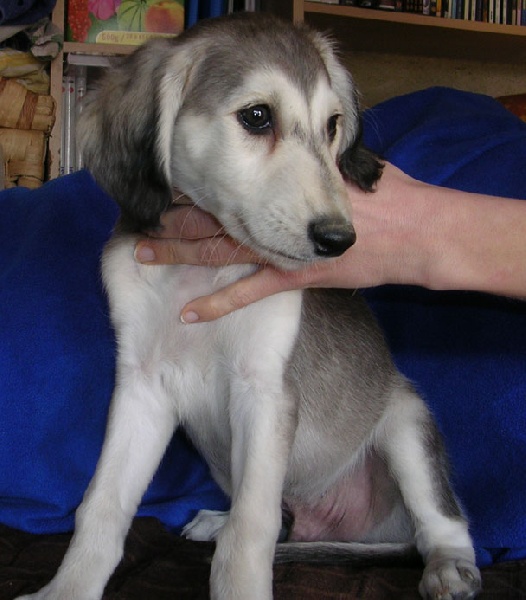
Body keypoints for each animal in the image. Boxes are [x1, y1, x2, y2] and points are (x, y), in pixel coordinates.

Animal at [18, 12, 481, 600]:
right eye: (257, 116)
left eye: (333, 125)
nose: (340, 240)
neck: (198, 277)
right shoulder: (141, 386)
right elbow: (101, 505)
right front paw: (68, 588)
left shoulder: (263, 389)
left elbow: (250, 531)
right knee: (280, 517)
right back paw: (219, 520)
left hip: (407, 426)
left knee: (444, 525)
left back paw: (448, 567)